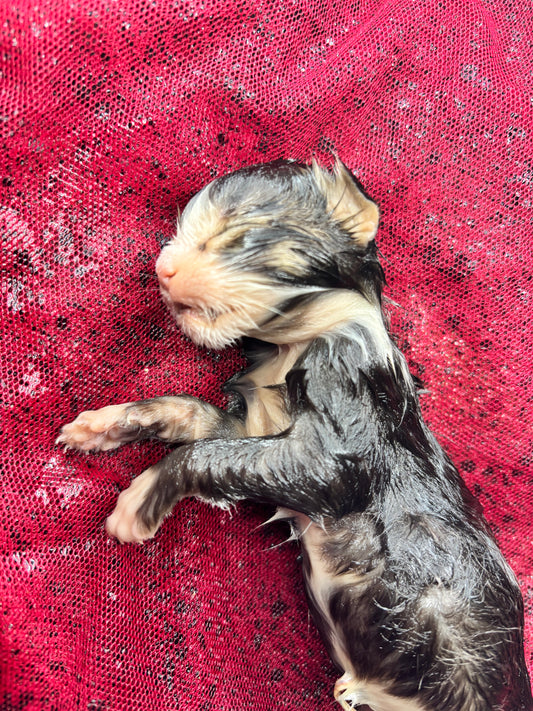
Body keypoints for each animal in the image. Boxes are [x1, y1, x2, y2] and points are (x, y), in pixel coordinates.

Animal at [58, 161, 532, 711]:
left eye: (239, 234)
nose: (163, 267)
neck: (289, 347)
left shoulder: (337, 426)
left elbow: (208, 453)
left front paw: (136, 504)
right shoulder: (255, 430)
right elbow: (195, 416)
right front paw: (97, 424)